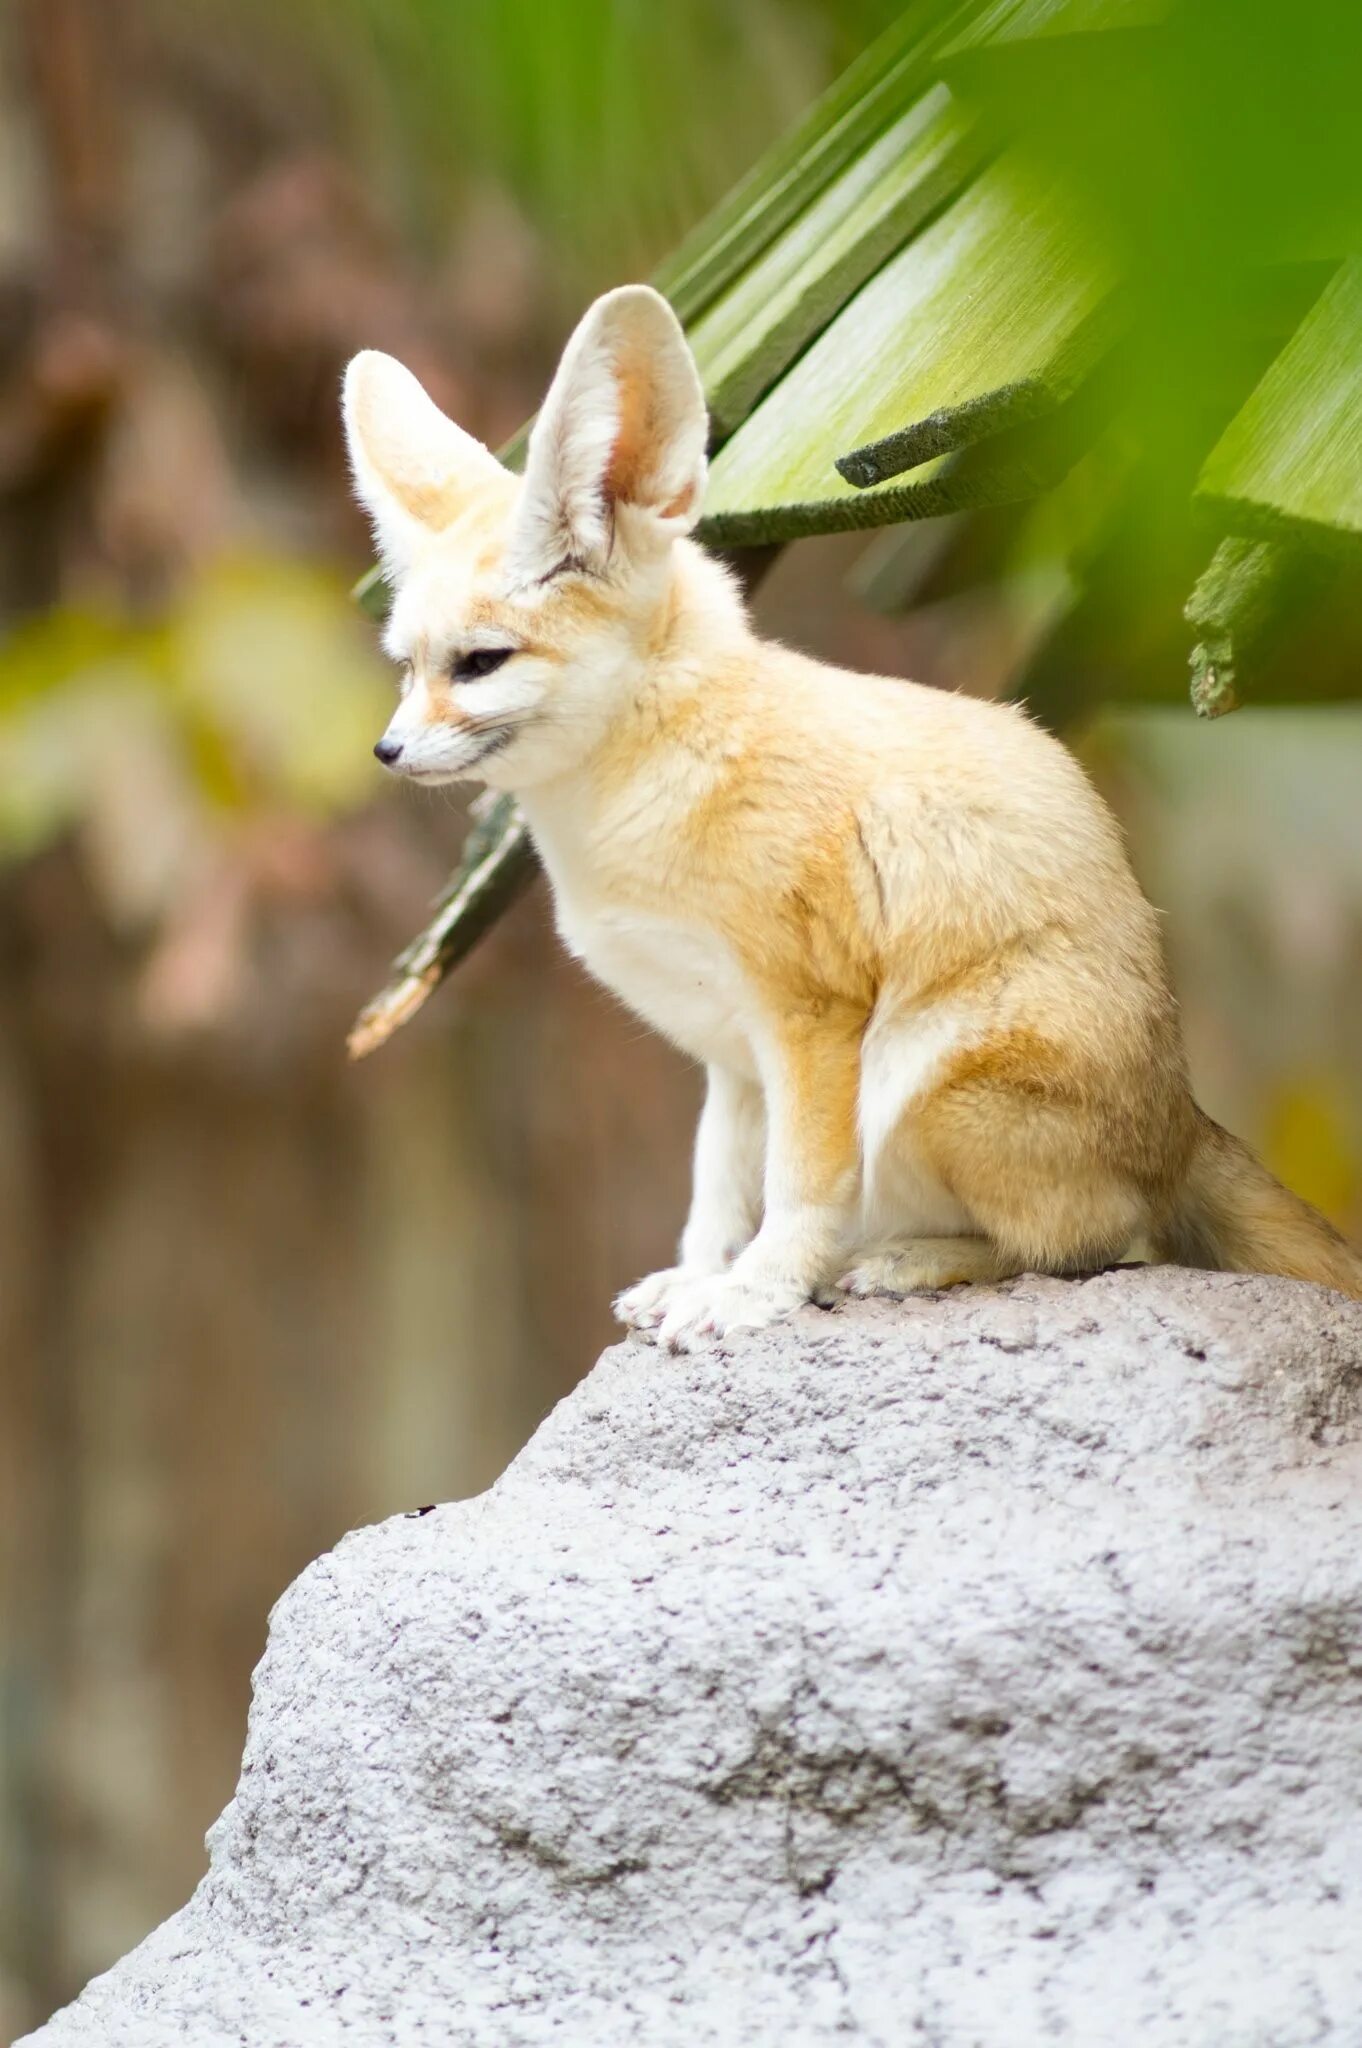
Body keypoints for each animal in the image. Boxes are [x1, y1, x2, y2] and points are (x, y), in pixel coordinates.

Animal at [342, 280, 1359, 1351]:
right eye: (407, 667)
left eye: (480, 663)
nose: (387, 752)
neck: (658, 785)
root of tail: (1186, 1118)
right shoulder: (730, 1058)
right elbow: (714, 1188)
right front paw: (700, 1274)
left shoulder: (811, 1021)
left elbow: (799, 1188)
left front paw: (755, 1291)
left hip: (921, 1077)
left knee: (1099, 1243)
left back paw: (914, 1259)